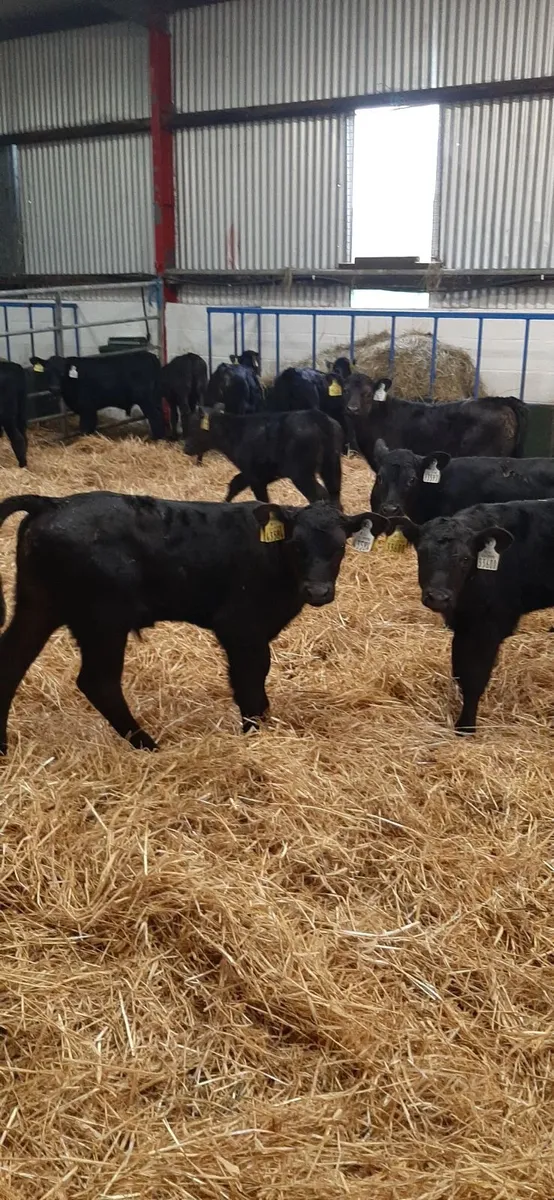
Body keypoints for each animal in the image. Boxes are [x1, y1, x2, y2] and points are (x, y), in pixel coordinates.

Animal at [0, 493, 388, 754]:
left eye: (340, 547)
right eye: (295, 545)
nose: (318, 591)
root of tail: (51, 503)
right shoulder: (240, 627)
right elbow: (251, 683)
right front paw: (254, 734)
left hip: (39, 606)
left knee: (12, 663)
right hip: (103, 620)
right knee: (99, 682)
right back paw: (149, 746)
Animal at [30, 352, 166, 439]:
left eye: (62, 372)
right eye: (47, 371)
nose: (54, 388)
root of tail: (151, 356)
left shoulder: (87, 408)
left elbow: (85, 428)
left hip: (146, 400)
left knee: (155, 417)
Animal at [184, 407, 343, 507]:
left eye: (193, 427)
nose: (186, 448)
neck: (235, 432)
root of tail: (318, 417)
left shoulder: (254, 476)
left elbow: (262, 500)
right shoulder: (261, 474)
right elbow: (235, 484)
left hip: (302, 474)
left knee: (320, 495)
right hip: (331, 467)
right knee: (334, 496)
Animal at [396, 499, 554, 733]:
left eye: (465, 558)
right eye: (422, 552)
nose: (438, 597)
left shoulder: (487, 628)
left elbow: (474, 678)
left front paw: (466, 726)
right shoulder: (463, 625)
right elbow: (459, 669)